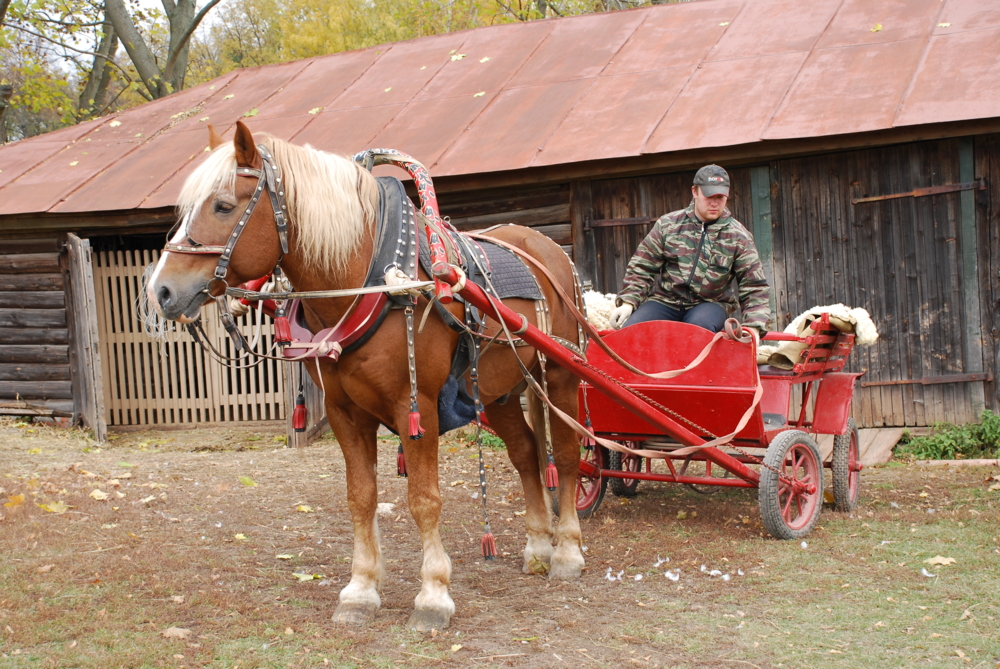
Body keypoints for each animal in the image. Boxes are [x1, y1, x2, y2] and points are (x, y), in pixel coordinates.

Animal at [147, 121, 584, 632]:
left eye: (222, 205)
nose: (161, 291)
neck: (368, 281)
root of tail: (547, 248)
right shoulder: (345, 412)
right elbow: (360, 497)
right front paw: (360, 589)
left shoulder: (417, 405)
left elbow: (423, 499)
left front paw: (433, 594)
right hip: (497, 391)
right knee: (526, 453)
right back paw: (537, 546)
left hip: (561, 376)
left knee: (568, 458)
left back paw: (567, 552)